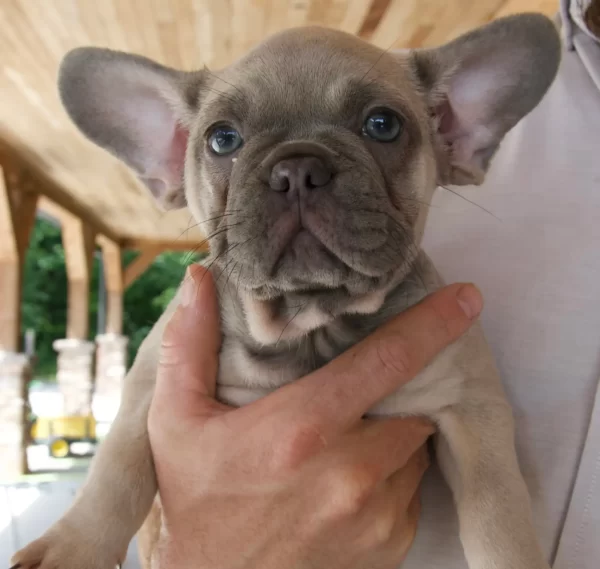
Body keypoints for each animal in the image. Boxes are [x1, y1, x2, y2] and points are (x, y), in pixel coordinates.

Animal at [10, 12, 564, 568]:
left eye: (383, 125)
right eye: (222, 139)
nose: (297, 167)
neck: (310, 322)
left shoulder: (471, 412)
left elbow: (498, 518)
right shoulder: (147, 387)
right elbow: (115, 471)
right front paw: (71, 546)